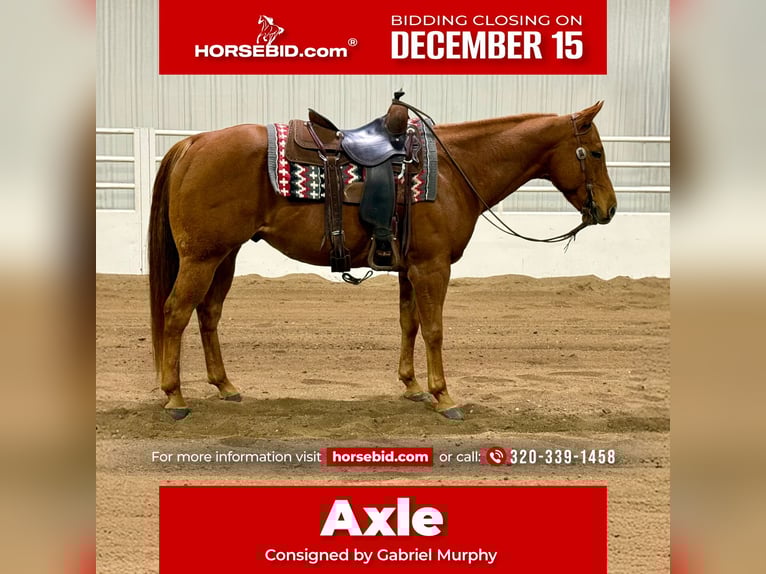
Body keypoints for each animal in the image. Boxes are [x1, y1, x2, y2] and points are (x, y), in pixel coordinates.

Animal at [148, 101, 617, 420]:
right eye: (595, 152)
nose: (609, 209)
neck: (452, 170)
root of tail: (192, 143)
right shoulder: (433, 267)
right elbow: (434, 330)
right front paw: (444, 396)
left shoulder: (411, 268)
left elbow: (409, 324)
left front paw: (412, 386)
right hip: (202, 257)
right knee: (176, 313)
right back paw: (175, 397)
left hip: (225, 255)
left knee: (208, 313)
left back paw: (225, 386)